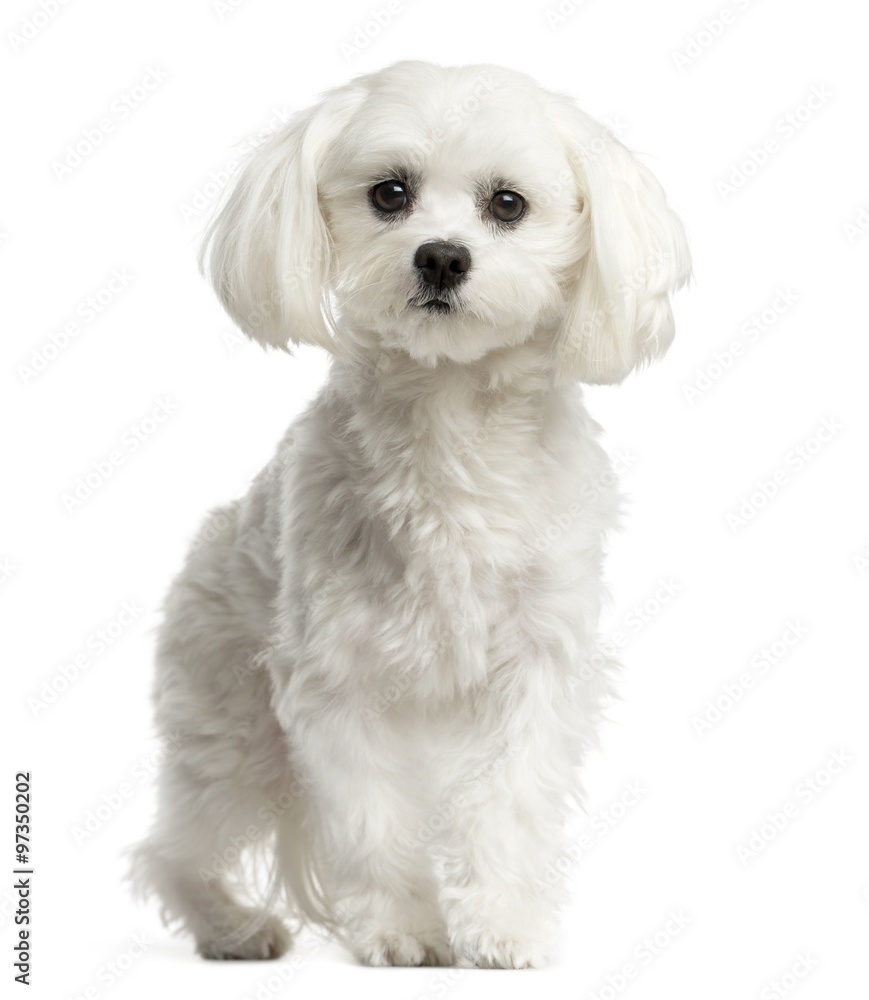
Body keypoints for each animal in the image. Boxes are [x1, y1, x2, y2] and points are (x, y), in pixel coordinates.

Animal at [129, 60, 688, 968]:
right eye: (390, 193)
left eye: (507, 204)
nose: (441, 256)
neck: (448, 419)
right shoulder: (336, 676)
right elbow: (370, 820)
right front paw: (402, 930)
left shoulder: (536, 664)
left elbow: (507, 803)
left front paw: (500, 926)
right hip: (233, 725)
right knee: (176, 843)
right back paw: (229, 925)